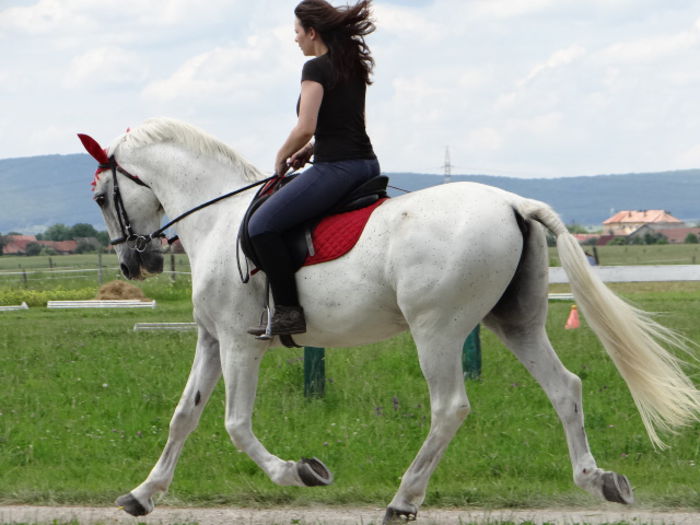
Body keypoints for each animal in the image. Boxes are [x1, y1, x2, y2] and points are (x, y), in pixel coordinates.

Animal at [79, 116, 696, 520]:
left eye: (100, 197)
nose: (135, 263)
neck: (218, 217)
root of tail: (512, 204)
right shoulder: (210, 340)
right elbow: (184, 417)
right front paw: (142, 494)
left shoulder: (238, 343)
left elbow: (234, 424)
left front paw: (301, 471)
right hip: (513, 322)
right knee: (565, 387)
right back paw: (598, 480)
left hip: (437, 330)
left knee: (450, 407)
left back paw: (403, 499)